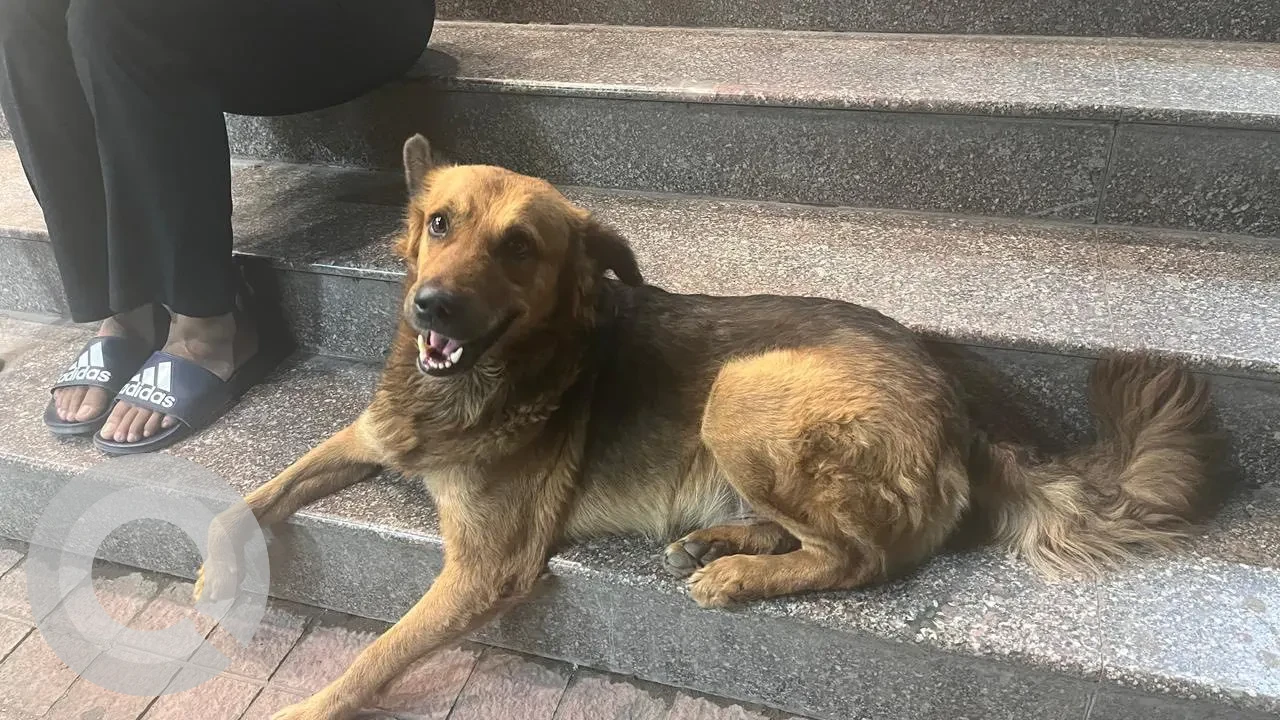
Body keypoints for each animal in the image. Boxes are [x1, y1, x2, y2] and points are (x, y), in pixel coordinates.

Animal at [196, 135, 1220, 720]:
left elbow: (376, 656)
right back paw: (723, 538)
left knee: (865, 557)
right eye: (438, 224)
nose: (431, 309)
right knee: (831, 537)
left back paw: (736, 572)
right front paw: (215, 575)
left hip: (741, 389)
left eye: (519, 248)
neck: (473, 387)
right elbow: (249, 495)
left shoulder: (486, 567)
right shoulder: (365, 438)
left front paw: (305, 708)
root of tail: (957, 408)